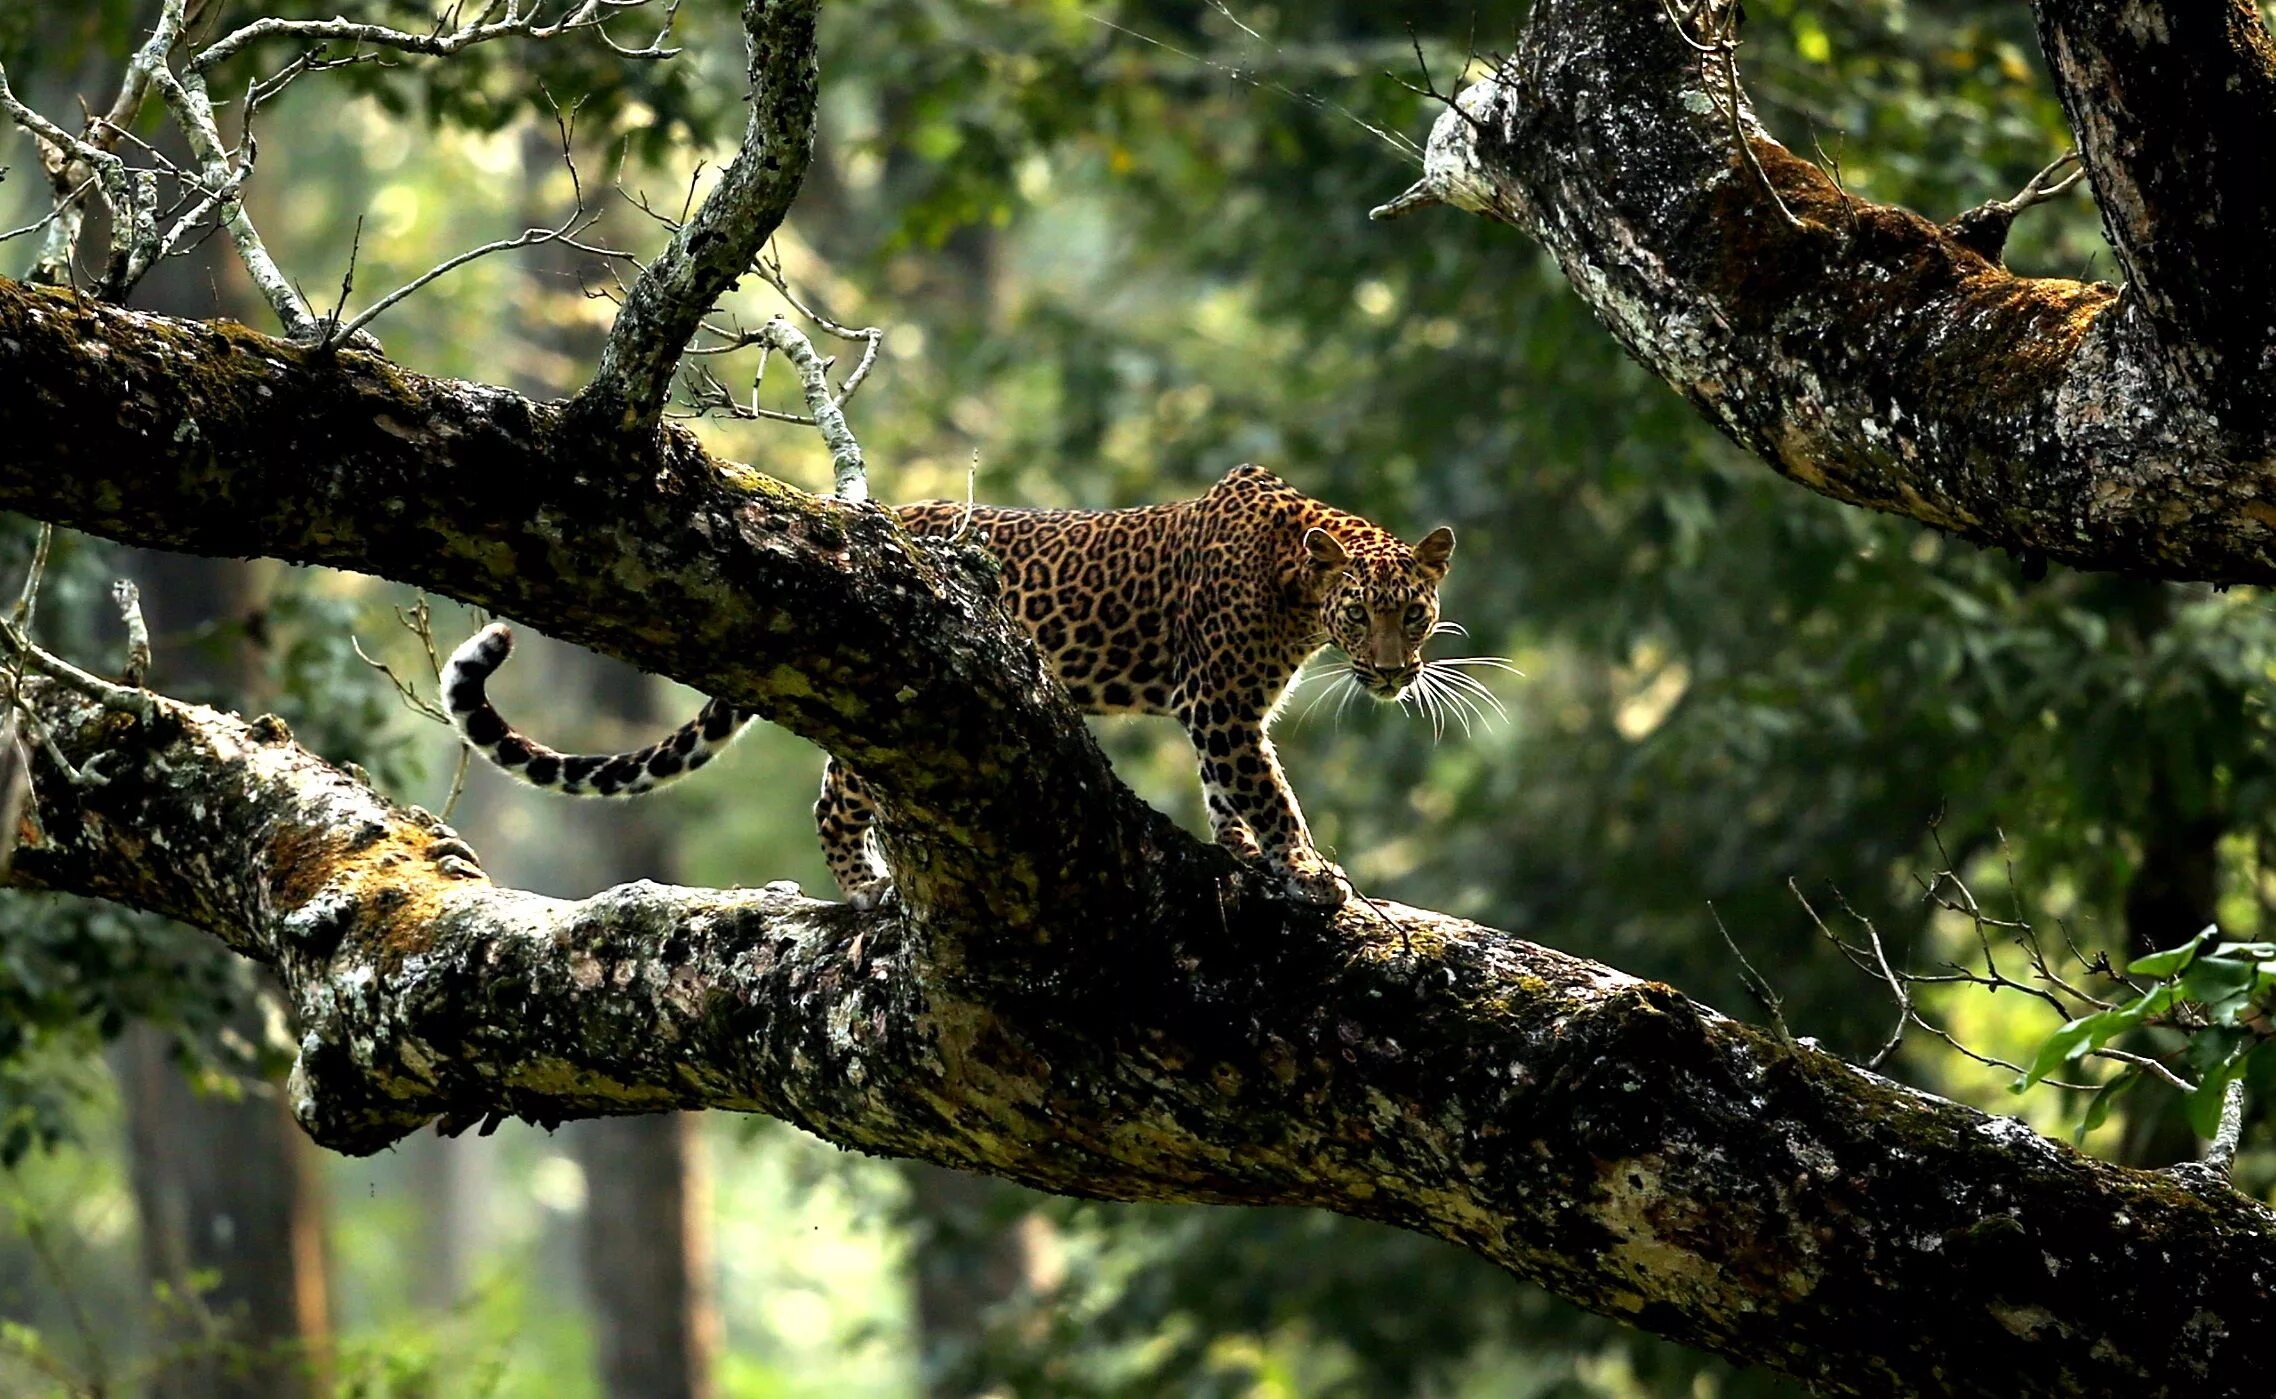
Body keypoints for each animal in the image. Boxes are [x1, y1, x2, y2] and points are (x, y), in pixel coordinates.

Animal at [443, 466, 1456, 914]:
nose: (1394, 671)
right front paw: (1309, 866)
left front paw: (1243, 852)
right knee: (835, 796)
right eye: (1362, 613)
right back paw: (868, 886)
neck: (1298, 583)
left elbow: (1226, 791)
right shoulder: (1221, 703)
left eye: (1414, 612)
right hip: (881, 697)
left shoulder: (1220, 712)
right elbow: (1267, 789)